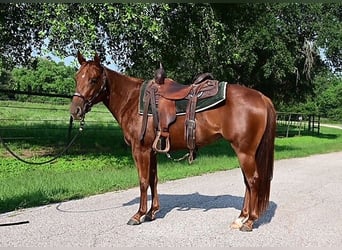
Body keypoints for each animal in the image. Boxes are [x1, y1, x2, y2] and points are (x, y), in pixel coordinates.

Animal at [71, 51, 276, 231]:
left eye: (93, 79)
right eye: (76, 78)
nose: (75, 110)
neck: (132, 99)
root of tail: (261, 97)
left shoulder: (140, 149)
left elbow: (143, 181)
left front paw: (138, 215)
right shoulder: (152, 150)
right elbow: (153, 179)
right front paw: (152, 212)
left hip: (245, 152)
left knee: (253, 181)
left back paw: (250, 221)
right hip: (244, 152)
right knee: (247, 182)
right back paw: (241, 218)